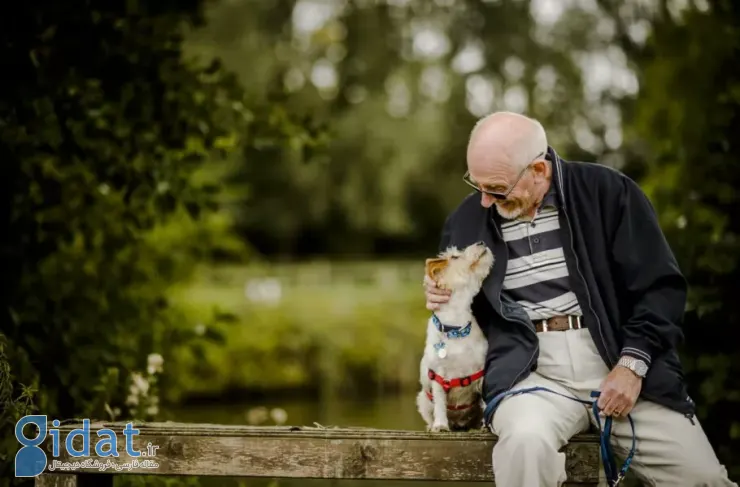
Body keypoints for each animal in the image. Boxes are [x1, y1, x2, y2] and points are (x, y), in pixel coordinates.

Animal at [416, 242, 492, 432]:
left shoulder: (482, 370)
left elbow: (486, 399)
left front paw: (486, 425)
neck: (456, 329)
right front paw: (440, 425)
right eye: (455, 257)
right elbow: (440, 403)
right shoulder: (438, 375)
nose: (481, 242)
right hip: (422, 399)